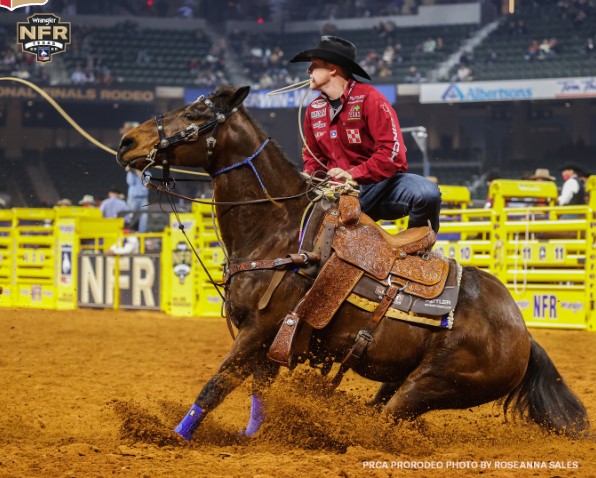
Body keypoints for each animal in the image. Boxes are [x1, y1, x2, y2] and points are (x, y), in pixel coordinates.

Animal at [115, 85, 588, 440]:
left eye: (195, 112)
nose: (126, 141)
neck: (278, 230)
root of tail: (524, 333)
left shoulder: (259, 331)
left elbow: (215, 385)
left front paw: (170, 437)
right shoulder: (269, 343)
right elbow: (258, 395)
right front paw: (252, 438)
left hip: (432, 383)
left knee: (387, 419)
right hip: (404, 378)